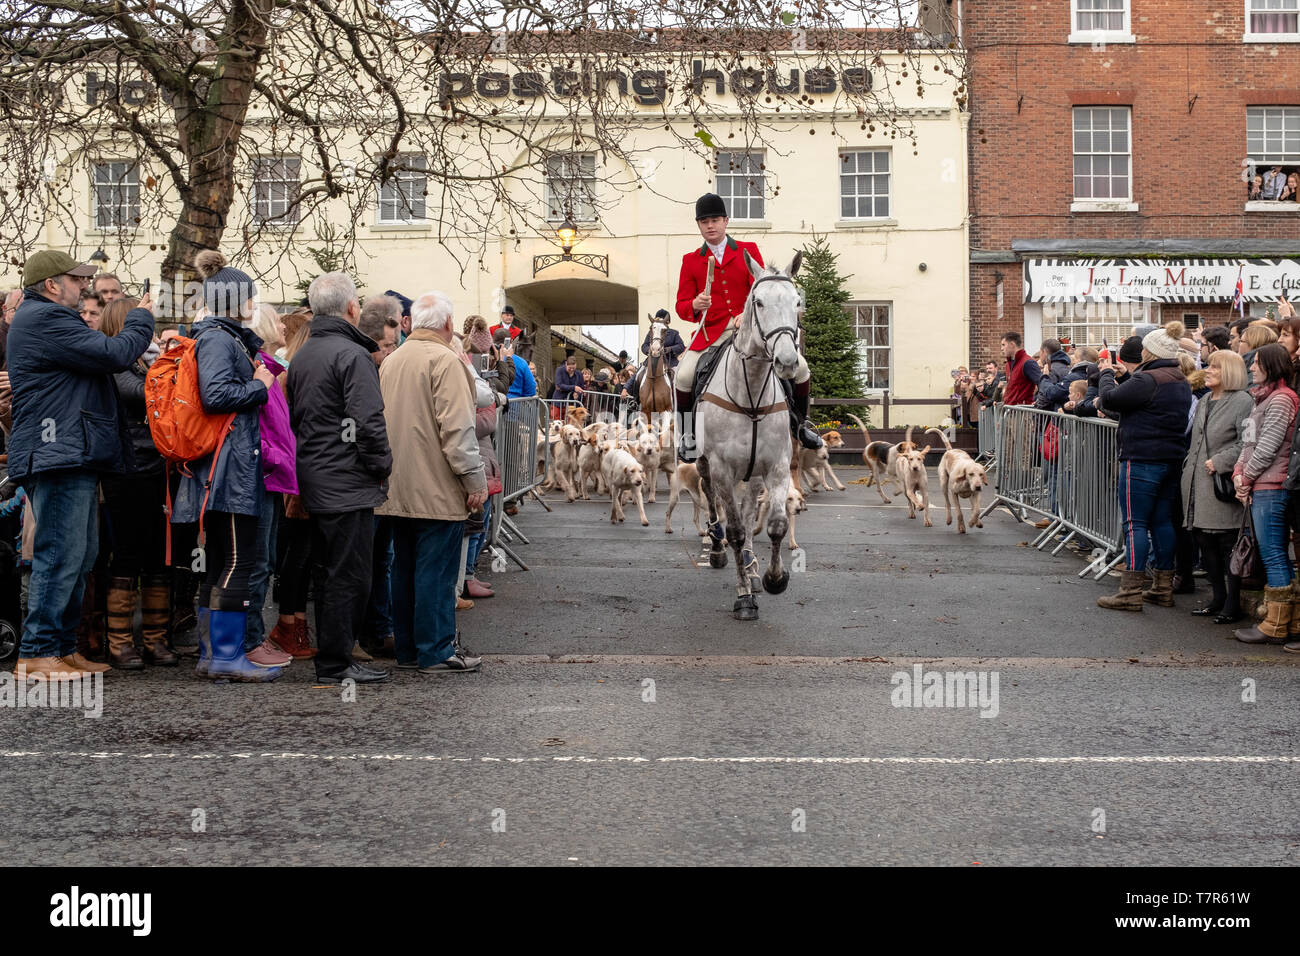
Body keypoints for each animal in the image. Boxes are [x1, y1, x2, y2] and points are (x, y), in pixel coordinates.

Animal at [691, 248, 800, 621]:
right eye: (759, 301)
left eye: (798, 302)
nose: (787, 361)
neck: (750, 388)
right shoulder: (722, 469)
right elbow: (736, 531)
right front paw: (743, 598)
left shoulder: (778, 465)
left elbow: (775, 524)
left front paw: (773, 579)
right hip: (705, 465)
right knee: (711, 498)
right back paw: (718, 549)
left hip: (754, 472)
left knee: (752, 506)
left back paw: (752, 568)